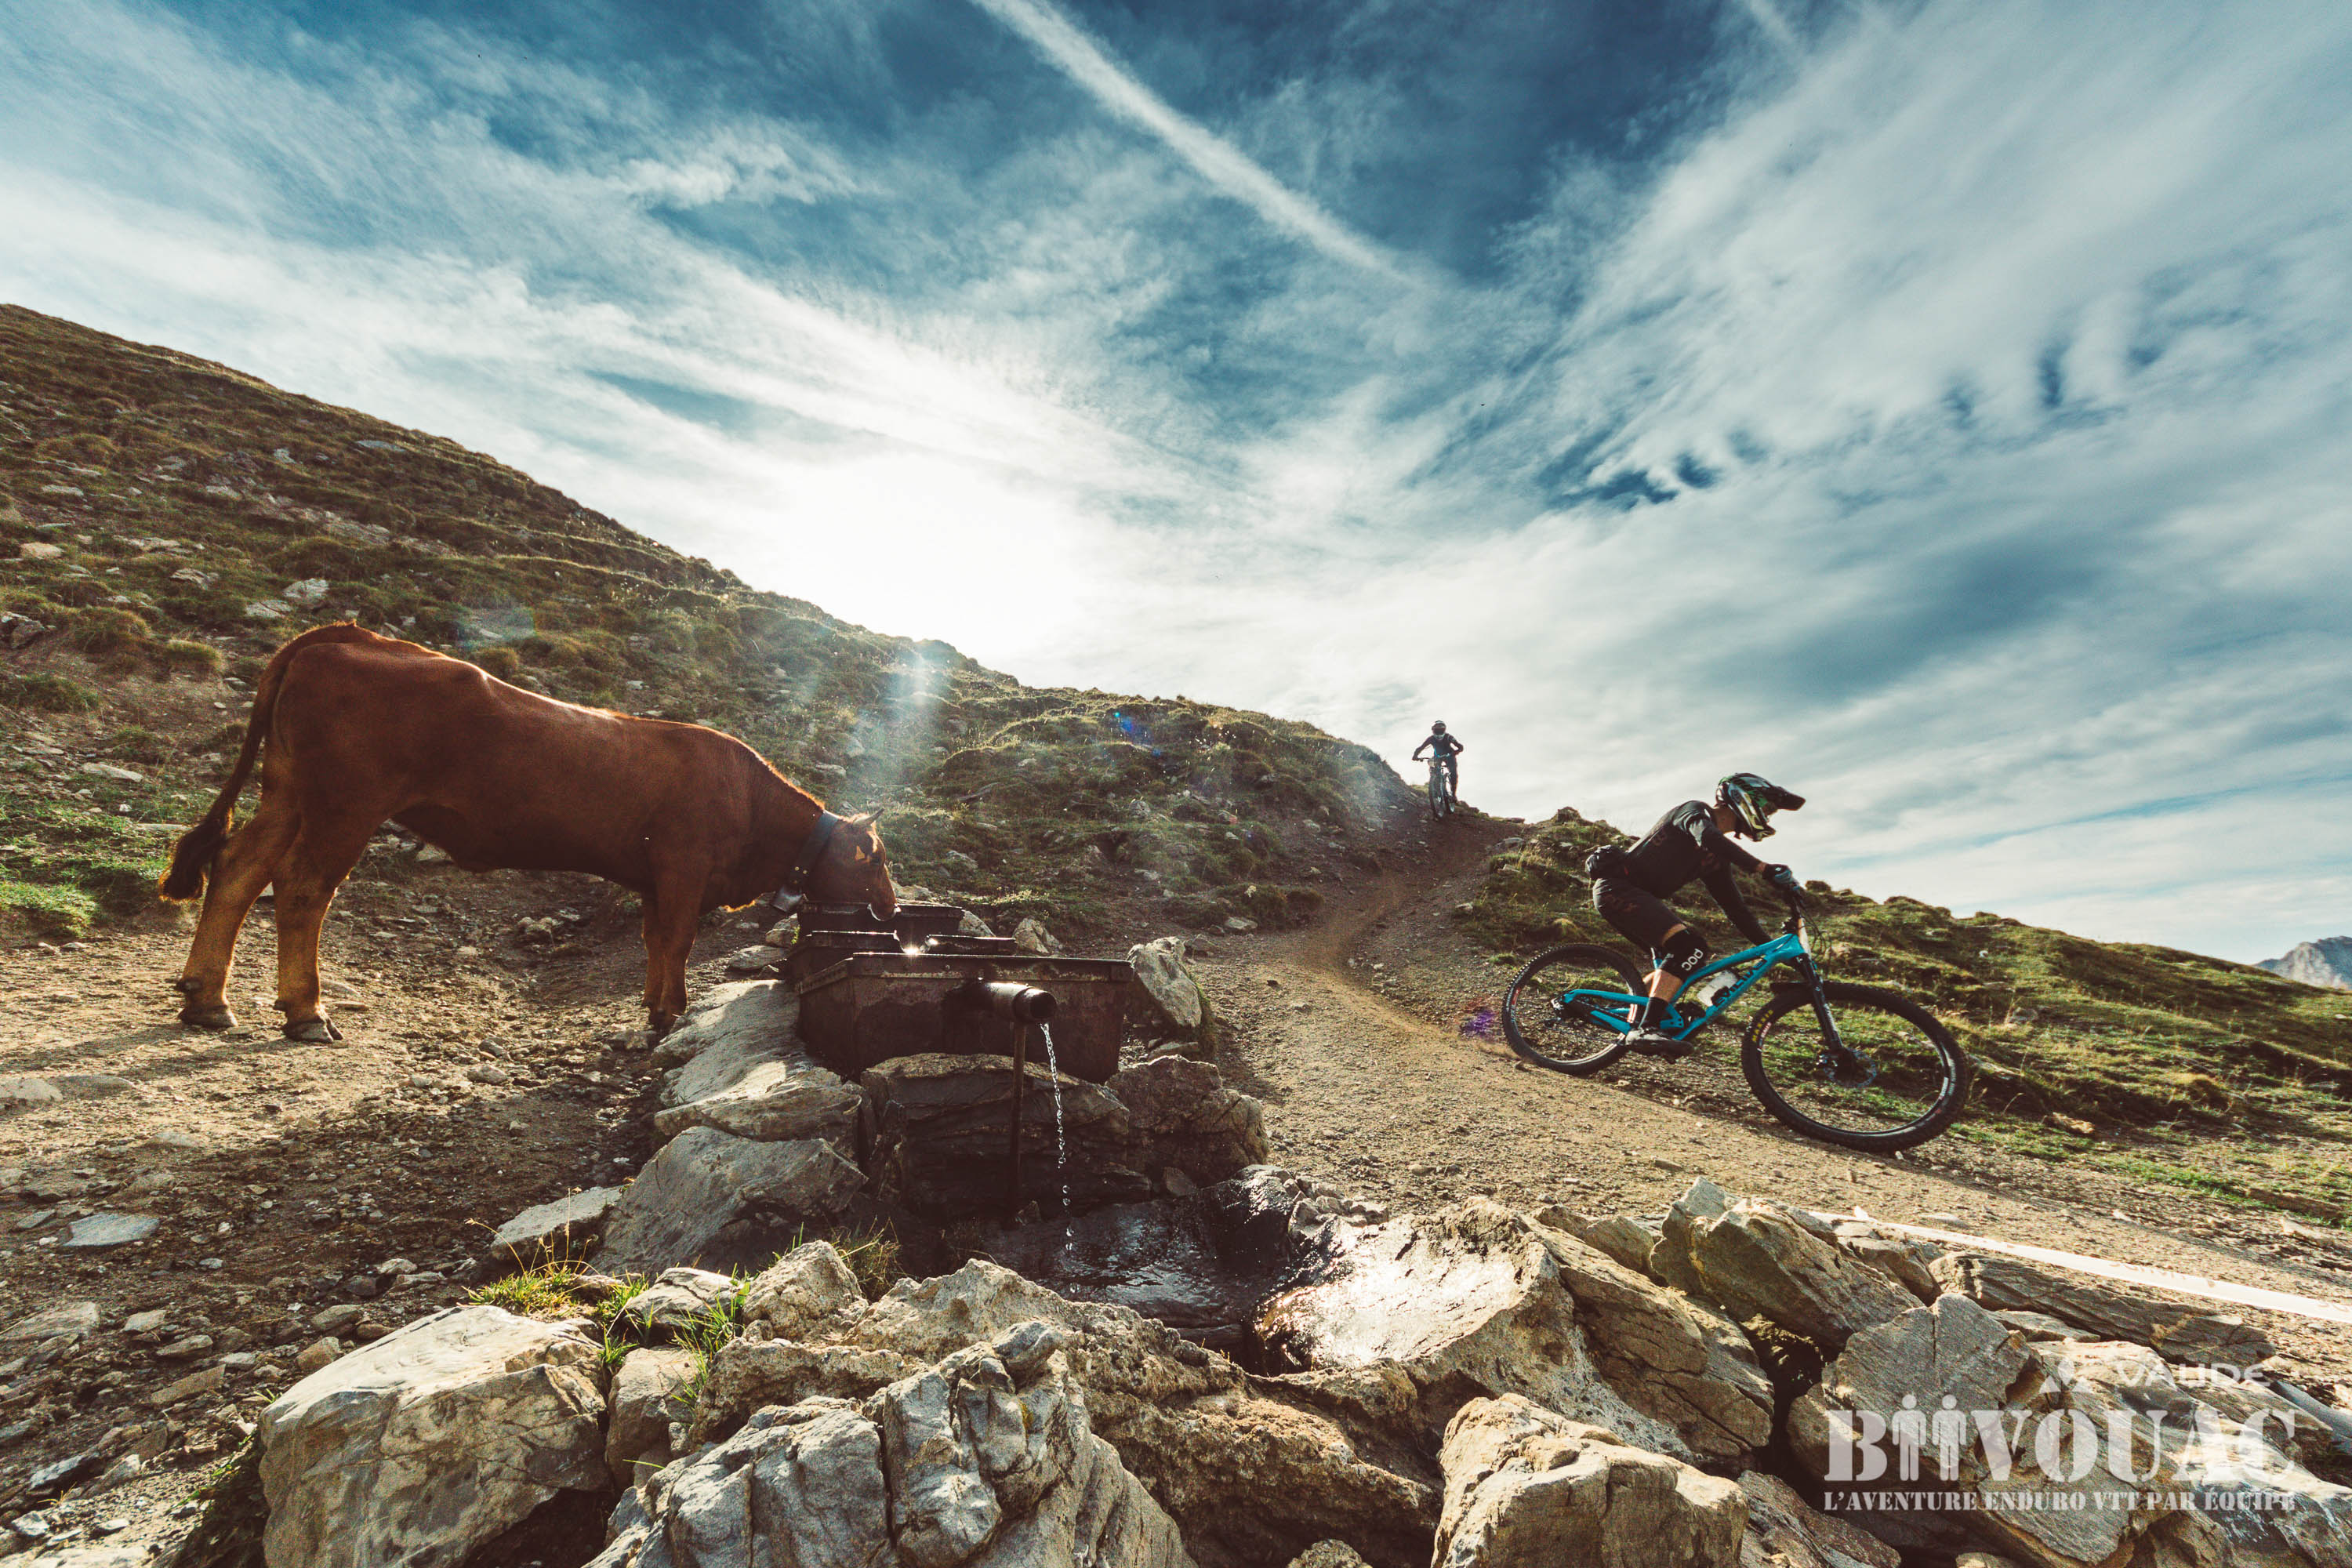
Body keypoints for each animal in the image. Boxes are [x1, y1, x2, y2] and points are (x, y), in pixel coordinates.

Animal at [159, 623, 895, 1040]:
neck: (752, 806)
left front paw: (654, 1007)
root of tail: (350, 635)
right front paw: (670, 1013)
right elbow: (679, 943)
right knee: (302, 888)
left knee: (239, 868)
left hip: (287, 794)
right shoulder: (684, 869)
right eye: (877, 859)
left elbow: (656, 943)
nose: (892, 908)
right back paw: (306, 1012)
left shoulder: (652, 878)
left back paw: (207, 1000)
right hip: (345, 806)